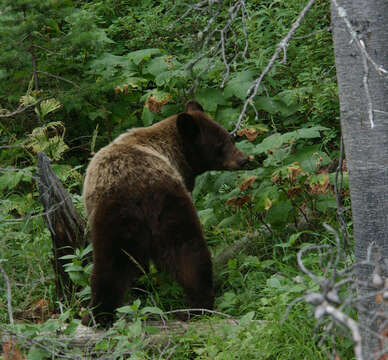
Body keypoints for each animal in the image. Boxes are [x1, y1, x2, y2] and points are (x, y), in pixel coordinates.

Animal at [82, 100, 249, 324]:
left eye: (229, 138)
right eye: (221, 145)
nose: (243, 159)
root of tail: (140, 189)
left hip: (134, 216)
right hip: (158, 208)